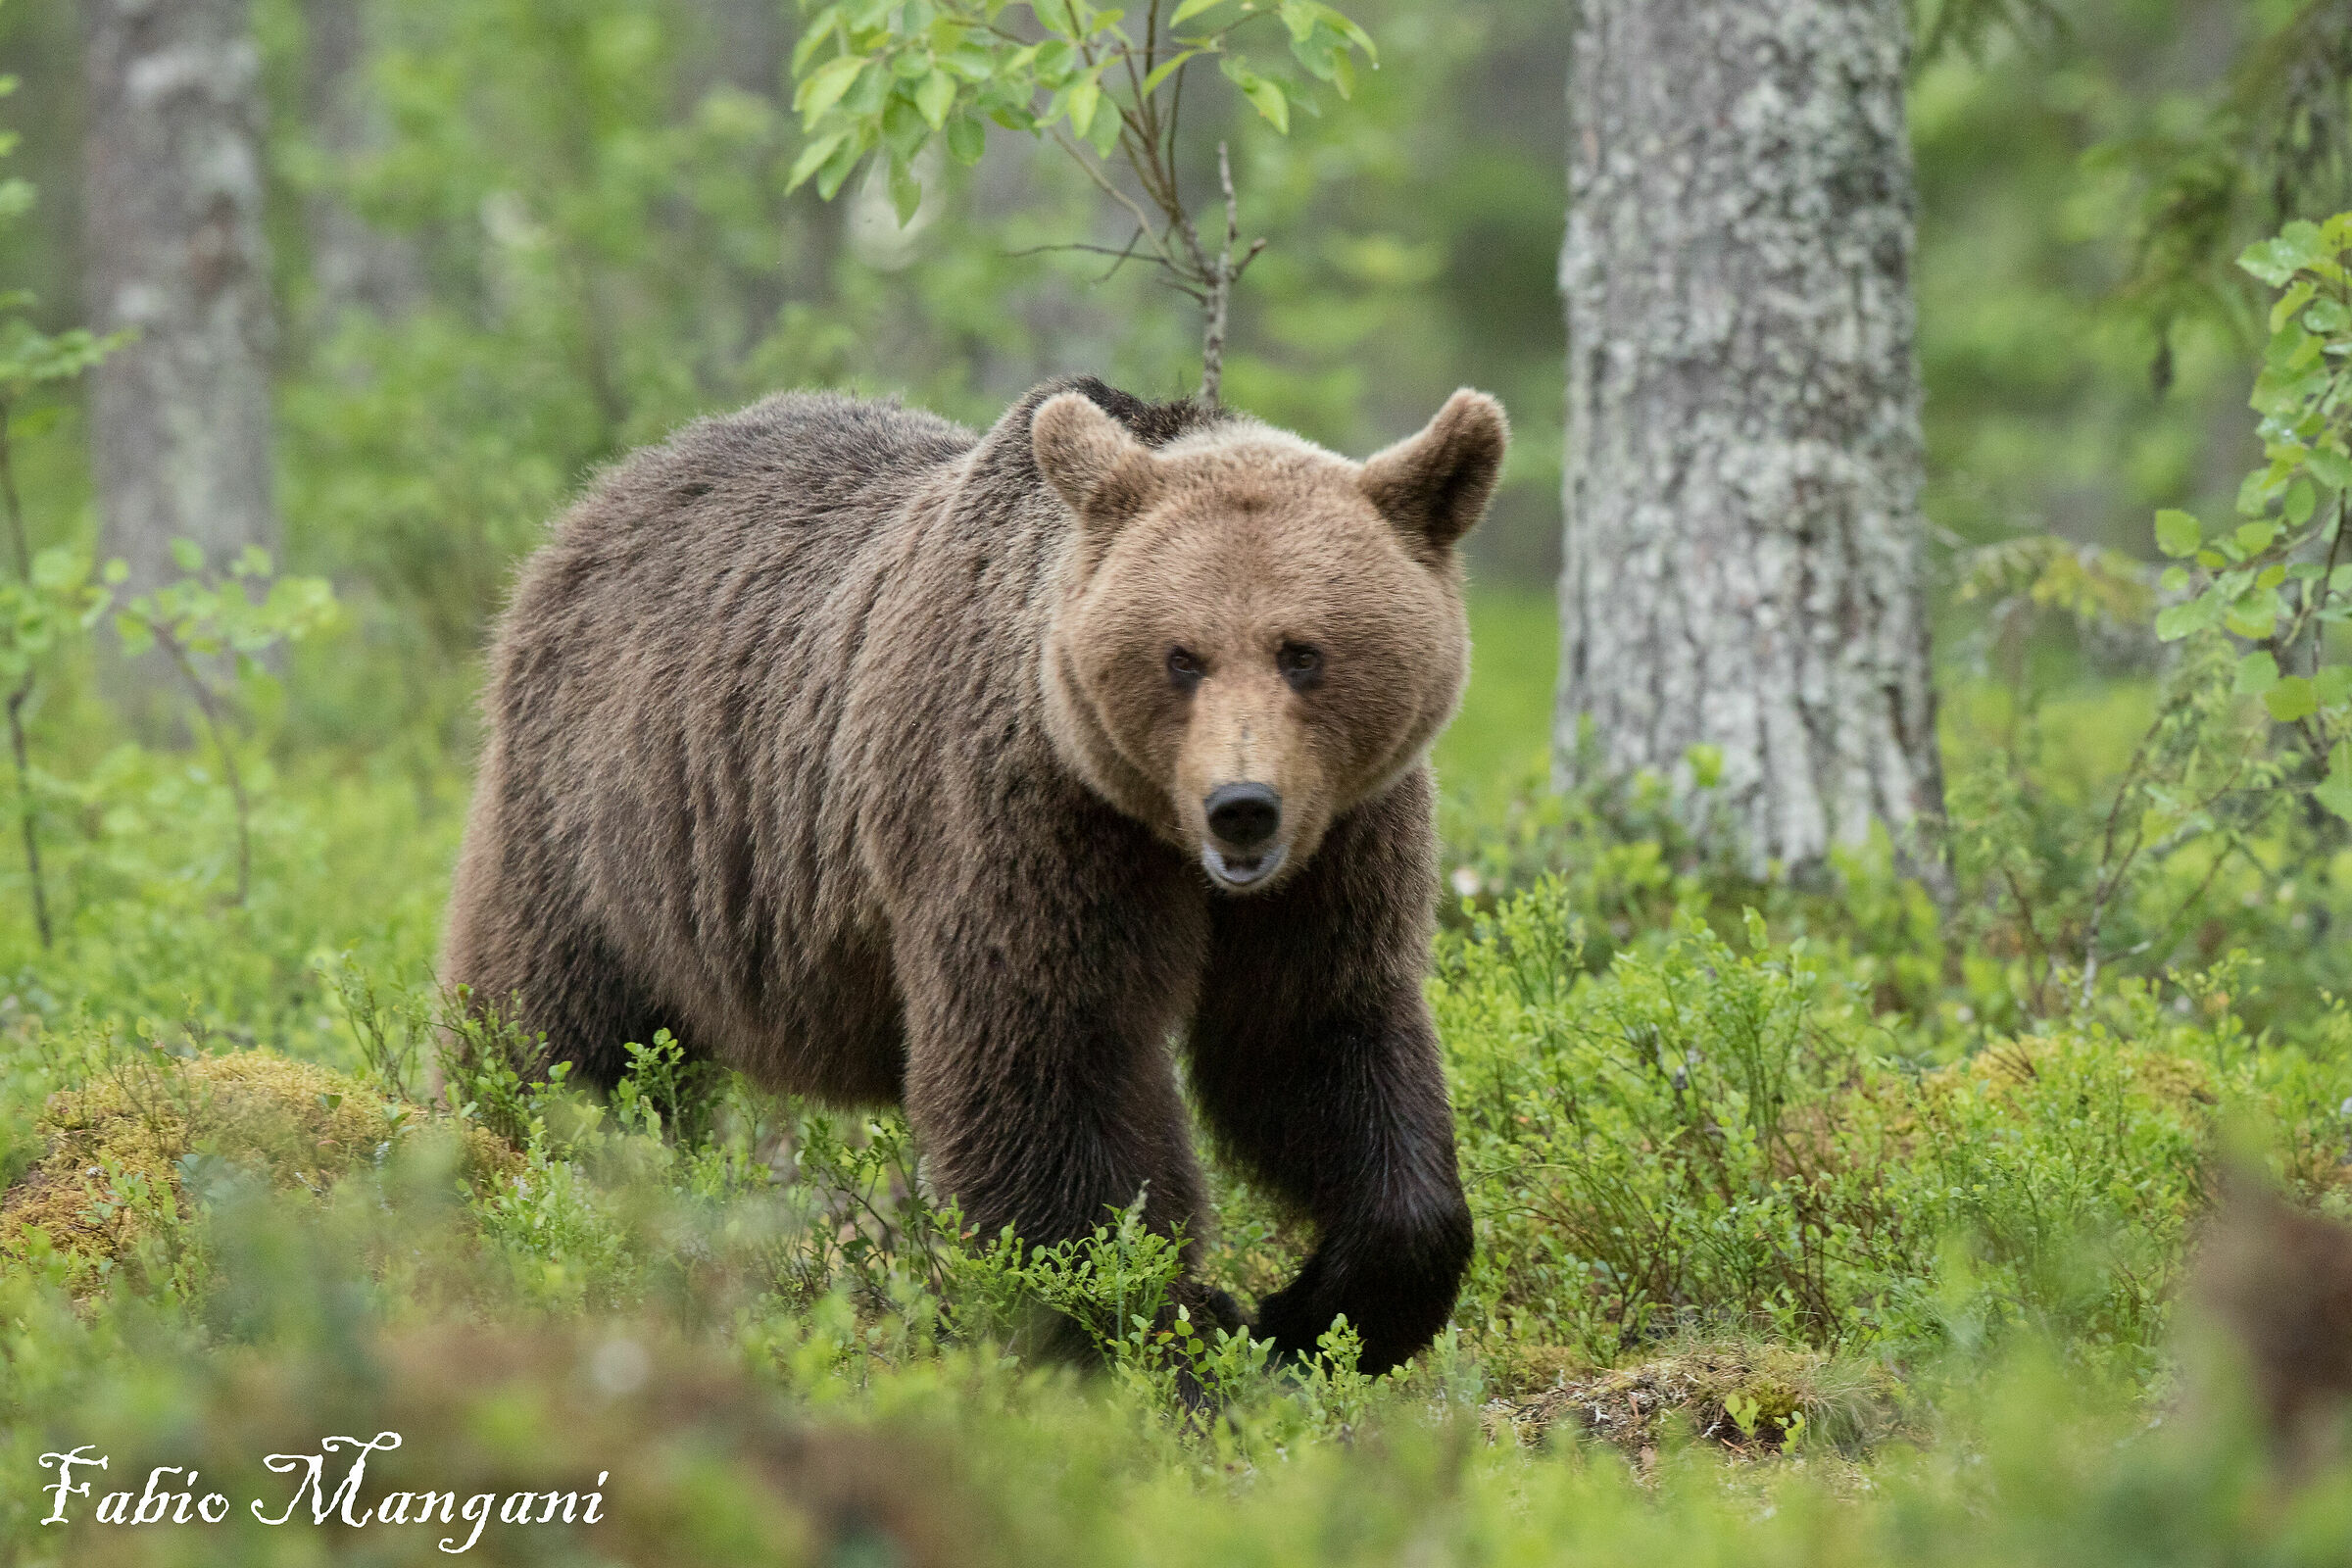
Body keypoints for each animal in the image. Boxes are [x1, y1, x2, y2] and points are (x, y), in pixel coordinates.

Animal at [440, 376, 1507, 1373]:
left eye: (1303, 652)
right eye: (1181, 656)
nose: (1242, 804)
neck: (1162, 835)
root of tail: (603, 496)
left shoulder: (1337, 851)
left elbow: (1312, 1040)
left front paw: (1310, 1315)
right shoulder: (1023, 816)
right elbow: (1047, 1068)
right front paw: (1158, 1337)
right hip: (601, 820)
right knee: (555, 1034)